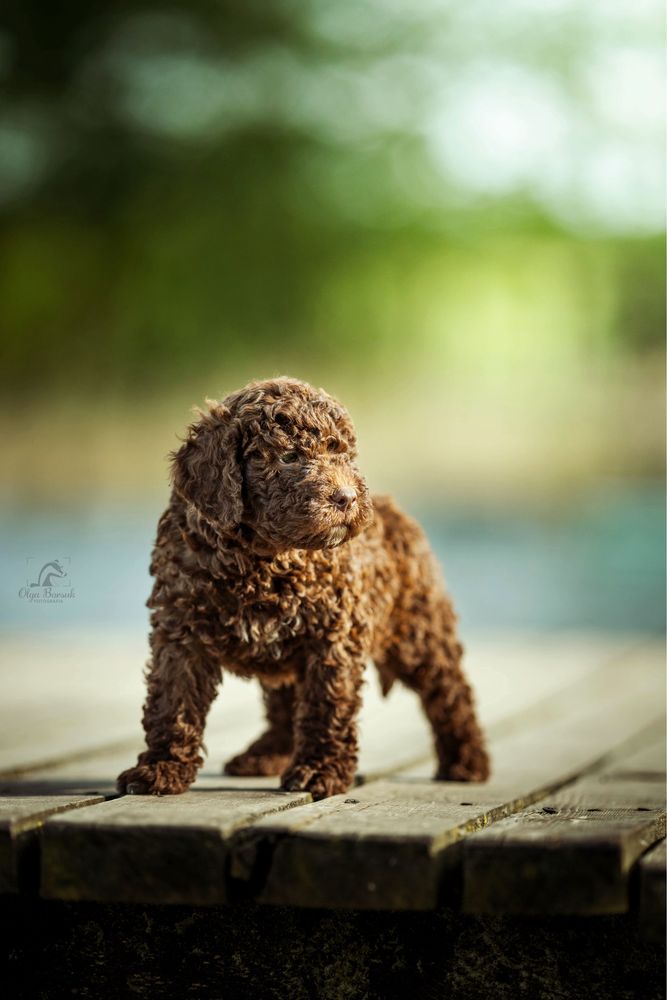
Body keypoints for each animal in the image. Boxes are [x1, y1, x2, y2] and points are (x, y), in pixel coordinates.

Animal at [116, 378, 490, 800]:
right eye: (289, 457)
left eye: (342, 455)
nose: (347, 498)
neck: (262, 558)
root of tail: (394, 510)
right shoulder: (181, 632)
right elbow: (172, 702)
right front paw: (161, 769)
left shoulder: (333, 635)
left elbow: (326, 705)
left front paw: (320, 771)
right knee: (285, 703)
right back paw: (265, 755)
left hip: (418, 629)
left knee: (450, 691)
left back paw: (467, 762)